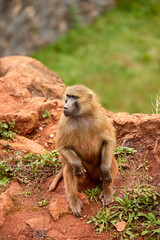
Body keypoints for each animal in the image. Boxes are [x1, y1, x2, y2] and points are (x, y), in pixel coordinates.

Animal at [49, 85, 118, 217]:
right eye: (68, 96)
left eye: (74, 97)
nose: (65, 107)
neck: (81, 116)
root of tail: (91, 176)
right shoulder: (63, 121)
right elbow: (62, 147)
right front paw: (77, 166)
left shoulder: (100, 117)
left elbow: (109, 141)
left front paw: (106, 171)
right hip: (84, 175)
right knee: (70, 167)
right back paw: (74, 200)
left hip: (97, 171)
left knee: (110, 160)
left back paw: (107, 191)